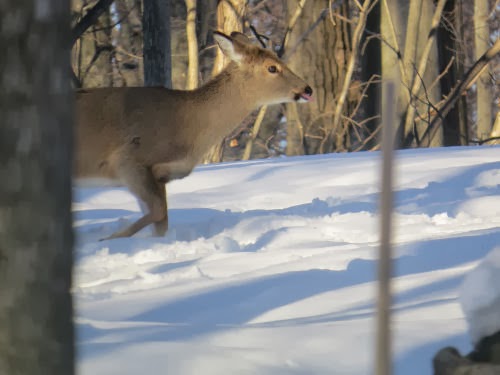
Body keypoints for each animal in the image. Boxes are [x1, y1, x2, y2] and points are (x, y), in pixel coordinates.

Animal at [75, 30, 310, 239]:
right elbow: (158, 211)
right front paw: (110, 238)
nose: (307, 89)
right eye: (272, 67)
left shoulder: (159, 175)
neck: (188, 127)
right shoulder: (128, 160)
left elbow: (162, 223)